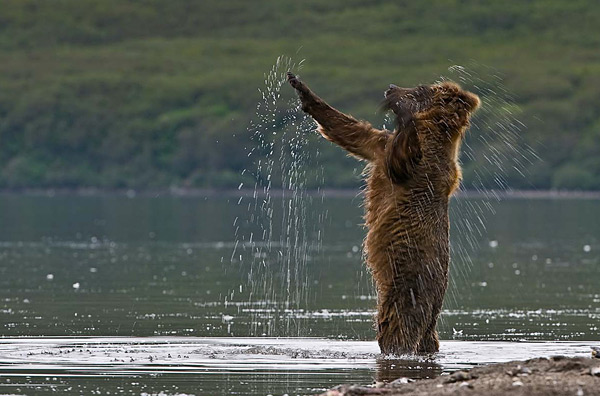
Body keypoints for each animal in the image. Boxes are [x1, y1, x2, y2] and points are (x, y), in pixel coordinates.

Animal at [288, 72, 480, 354]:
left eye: (421, 87)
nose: (391, 87)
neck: (435, 132)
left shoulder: (423, 167)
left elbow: (404, 157)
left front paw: (404, 111)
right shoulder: (381, 144)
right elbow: (351, 131)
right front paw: (302, 89)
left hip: (409, 287)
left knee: (397, 327)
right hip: (427, 308)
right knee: (427, 338)